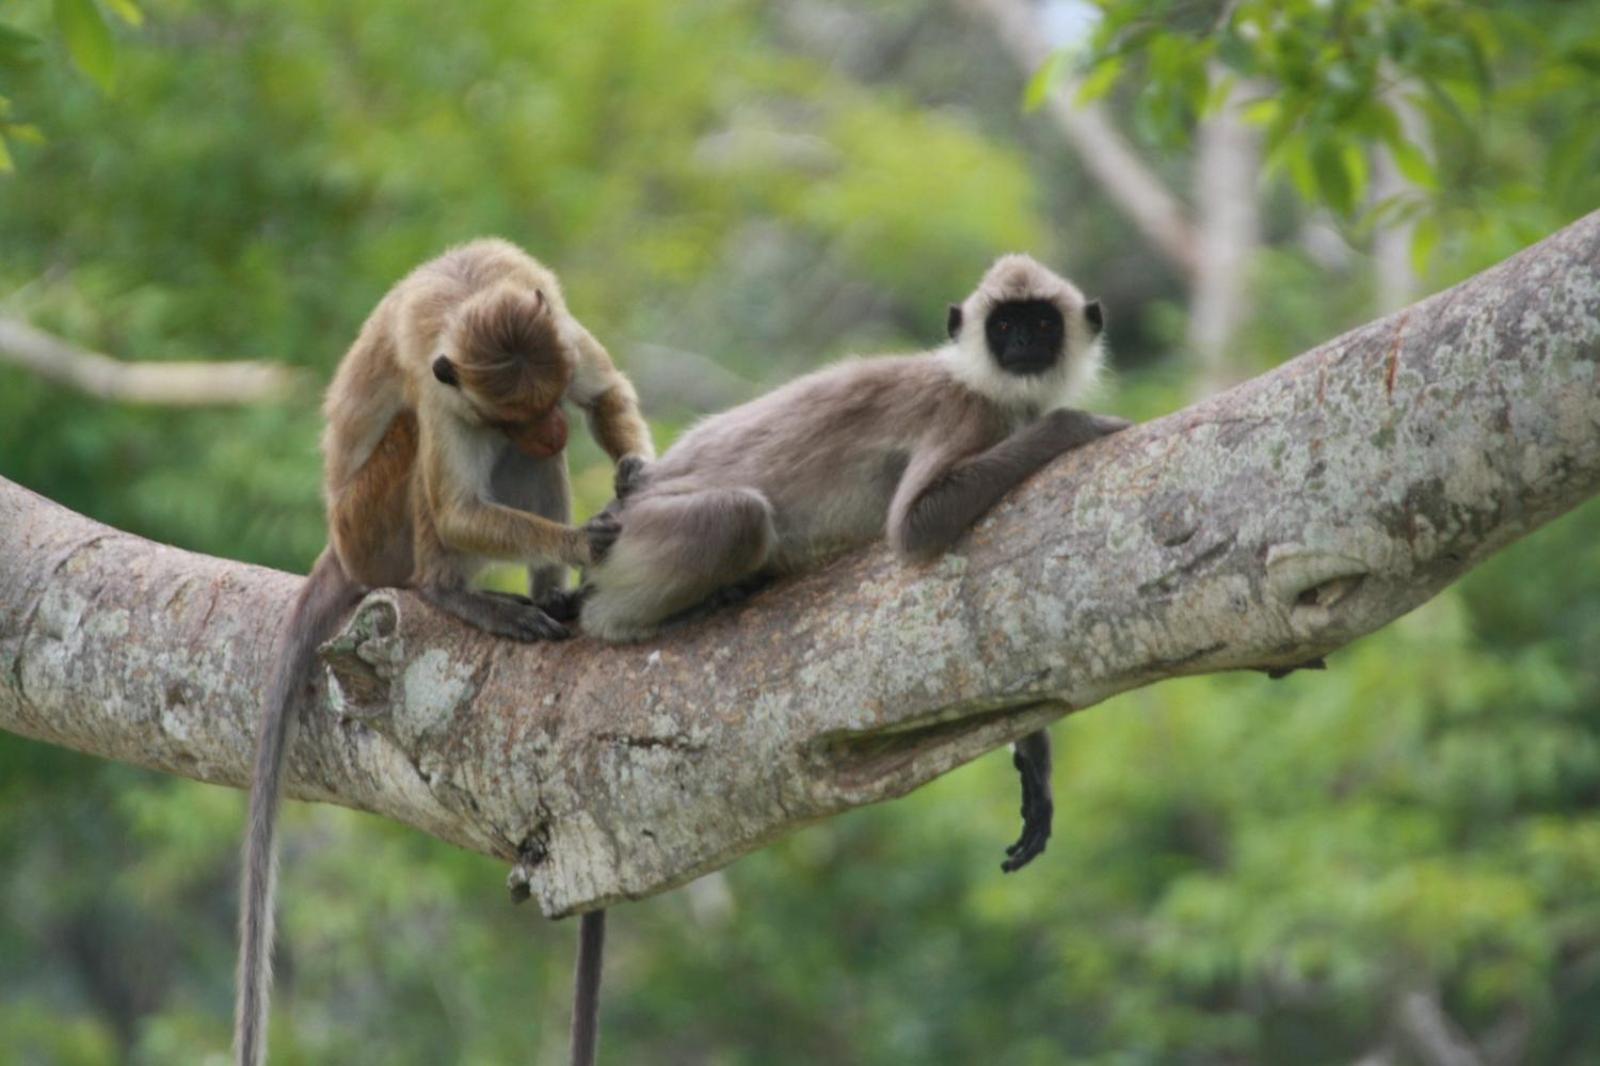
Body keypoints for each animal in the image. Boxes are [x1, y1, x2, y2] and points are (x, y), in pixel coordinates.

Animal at [236, 238, 649, 1062]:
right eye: (517, 410)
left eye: (546, 404)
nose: (549, 431)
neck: (472, 292)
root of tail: (340, 546)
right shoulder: (447, 393)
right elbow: (456, 503)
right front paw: (583, 540)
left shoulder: (559, 335)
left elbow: (605, 394)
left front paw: (635, 476)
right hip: (374, 524)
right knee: (424, 460)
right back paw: (454, 593)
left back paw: (553, 596)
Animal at [579, 257, 1126, 870]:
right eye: (1005, 326)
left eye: (1042, 323)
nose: (1025, 343)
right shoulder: (965, 412)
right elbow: (914, 526)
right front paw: (1077, 426)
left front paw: (1033, 762)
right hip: (645, 529)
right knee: (736, 518)